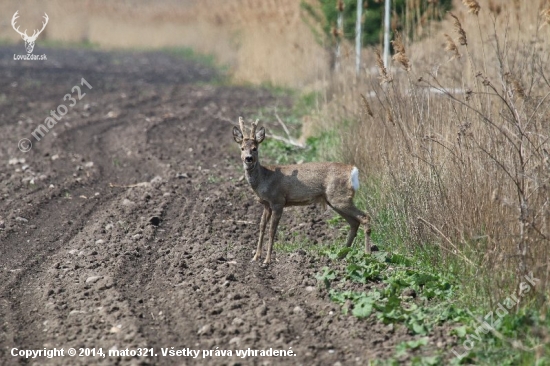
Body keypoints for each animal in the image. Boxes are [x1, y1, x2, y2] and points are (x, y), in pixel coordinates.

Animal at [231, 117, 374, 264]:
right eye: (242, 148)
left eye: (255, 148)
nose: (248, 158)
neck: (264, 179)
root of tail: (353, 170)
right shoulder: (266, 204)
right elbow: (261, 227)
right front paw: (255, 257)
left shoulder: (278, 201)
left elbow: (272, 230)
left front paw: (267, 260)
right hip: (334, 200)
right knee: (354, 222)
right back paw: (342, 254)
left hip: (340, 198)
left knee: (365, 217)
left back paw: (367, 254)